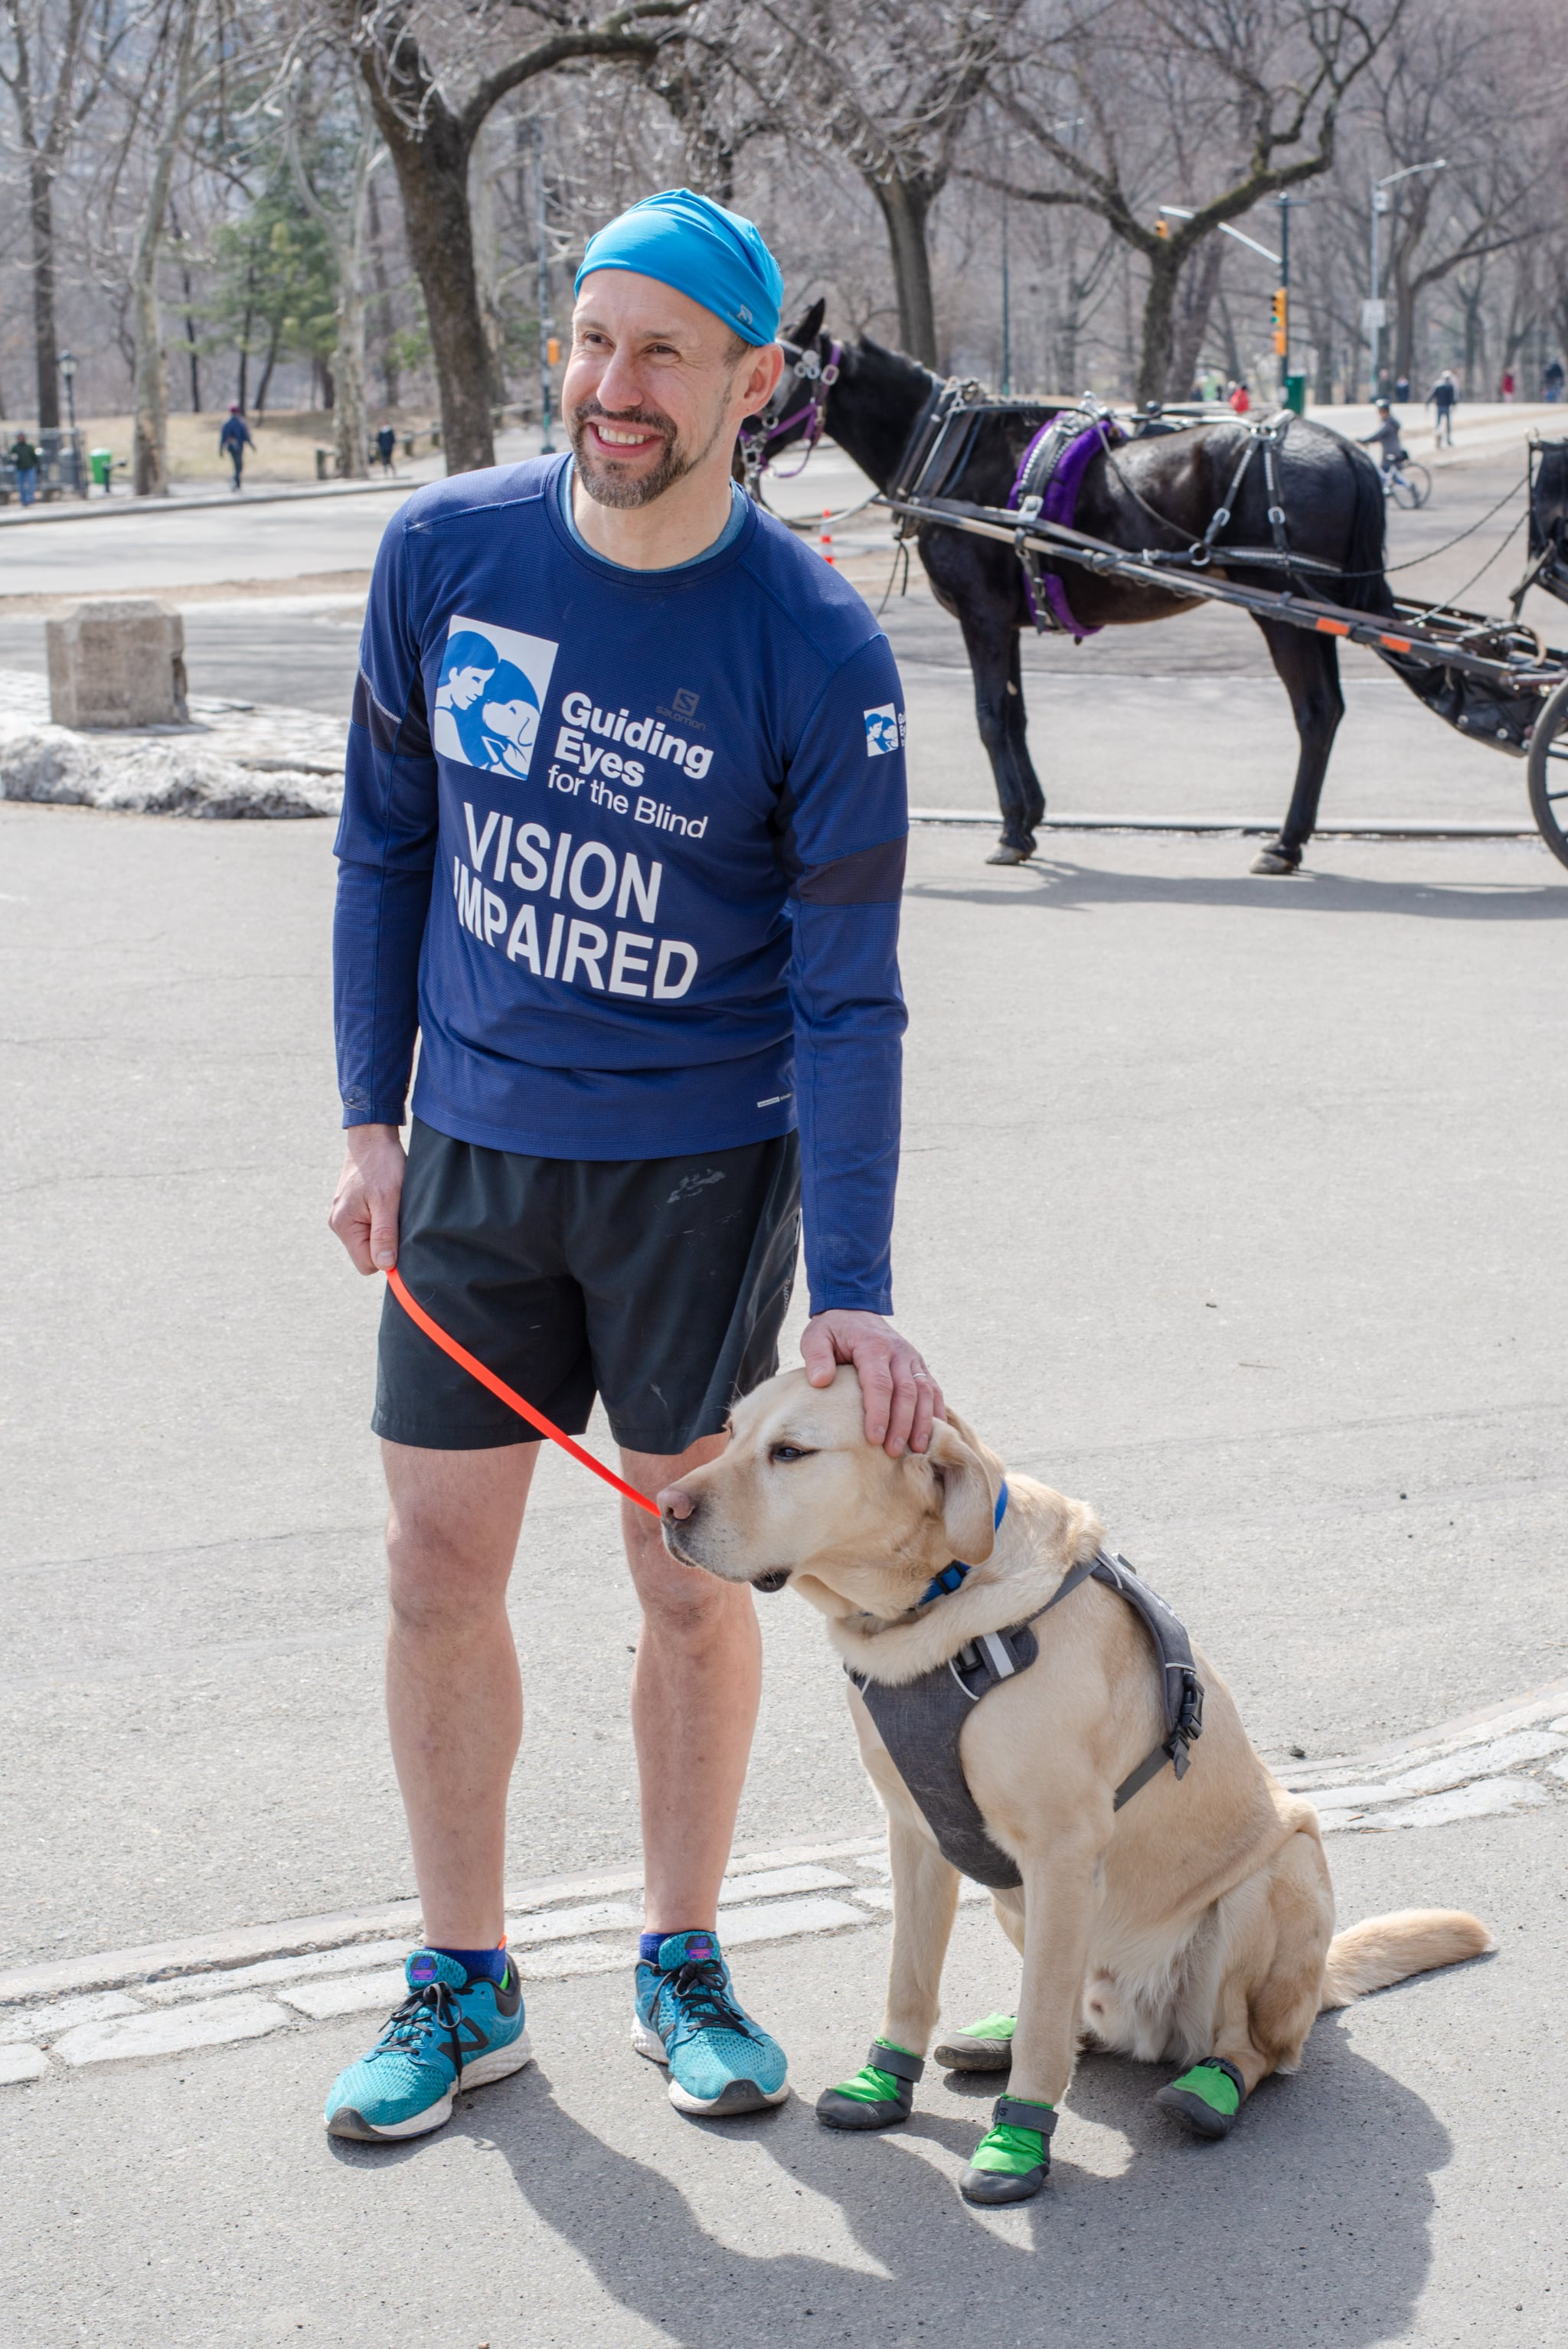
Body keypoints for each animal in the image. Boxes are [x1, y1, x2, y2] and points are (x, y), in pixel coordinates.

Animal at [662, 1371, 1492, 2207]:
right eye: (729, 1433)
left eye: (790, 1452)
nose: (666, 1505)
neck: (934, 1606)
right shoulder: (914, 1835)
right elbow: (909, 1980)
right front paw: (883, 2084)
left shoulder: (1060, 1852)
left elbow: (1040, 2031)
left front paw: (1016, 2145)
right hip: (1016, 1902)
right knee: (1069, 2015)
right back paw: (998, 2038)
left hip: (1276, 1875)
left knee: (1245, 2044)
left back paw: (1208, 2087)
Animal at [765, 302, 1389, 874]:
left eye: (778, 373)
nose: (744, 440)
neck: (951, 452)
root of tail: (1347, 450)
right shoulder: (1006, 621)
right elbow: (1014, 715)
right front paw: (1029, 816)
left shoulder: (981, 615)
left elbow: (989, 716)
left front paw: (1011, 831)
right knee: (1330, 709)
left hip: (1284, 612)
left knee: (1314, 713)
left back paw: (1284, 842)